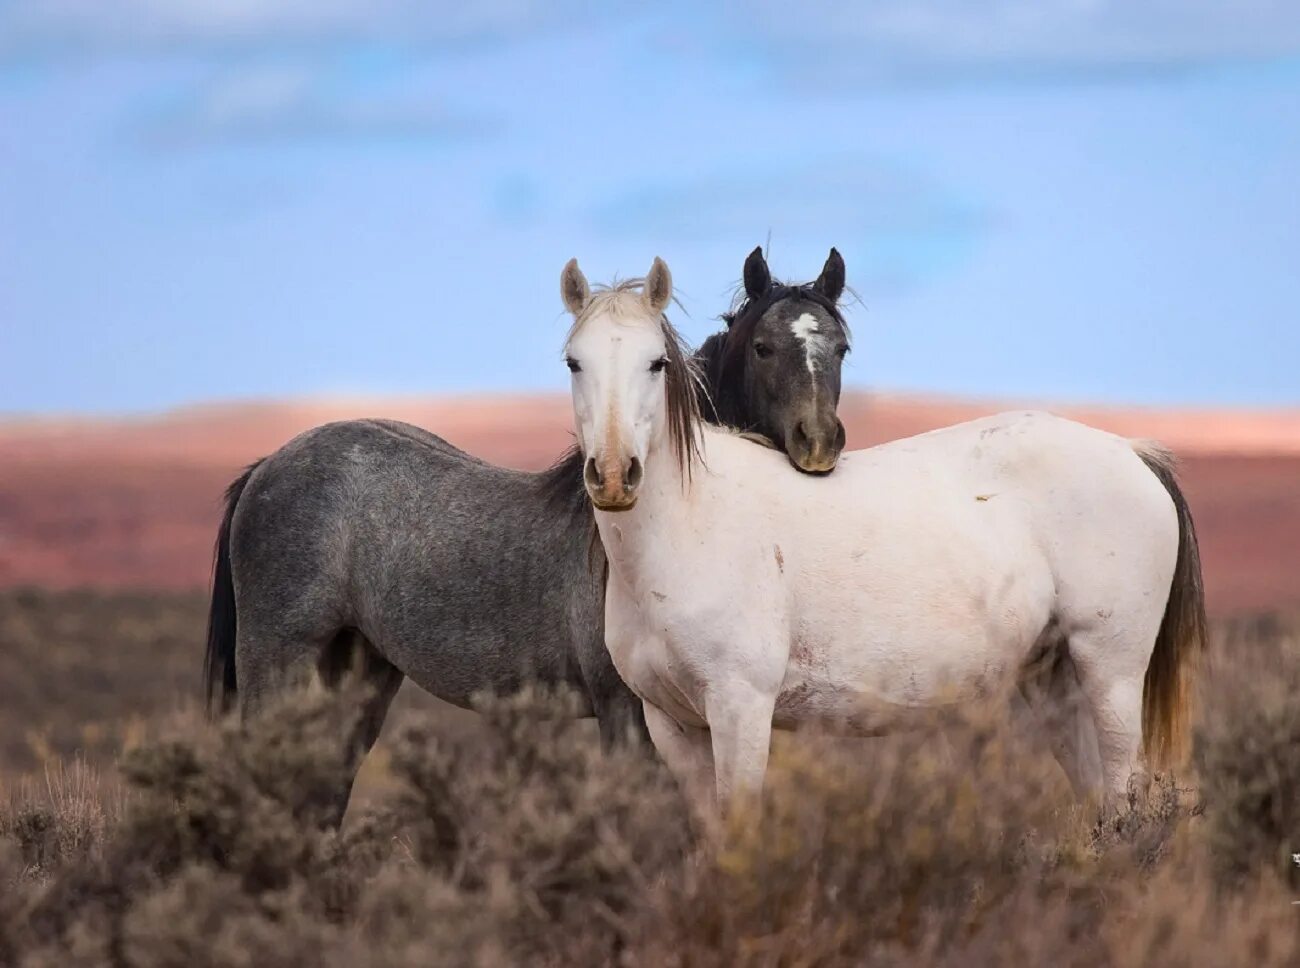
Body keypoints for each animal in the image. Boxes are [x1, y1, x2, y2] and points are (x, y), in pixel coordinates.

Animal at [202, 245, 852, 821]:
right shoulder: (626, 712)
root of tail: (267, 465)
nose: (818, 444)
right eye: (764, 348)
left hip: (358, 666)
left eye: (842, 347)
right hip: (278, 661)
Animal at [559, 257, 1206, 815]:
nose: (613, 474)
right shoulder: (673, 726)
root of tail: (1131, 451)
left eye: (656, 363)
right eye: (573, 362)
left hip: (1111, 675)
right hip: (1054, 682)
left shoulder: (740, 711)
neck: (688, 526)